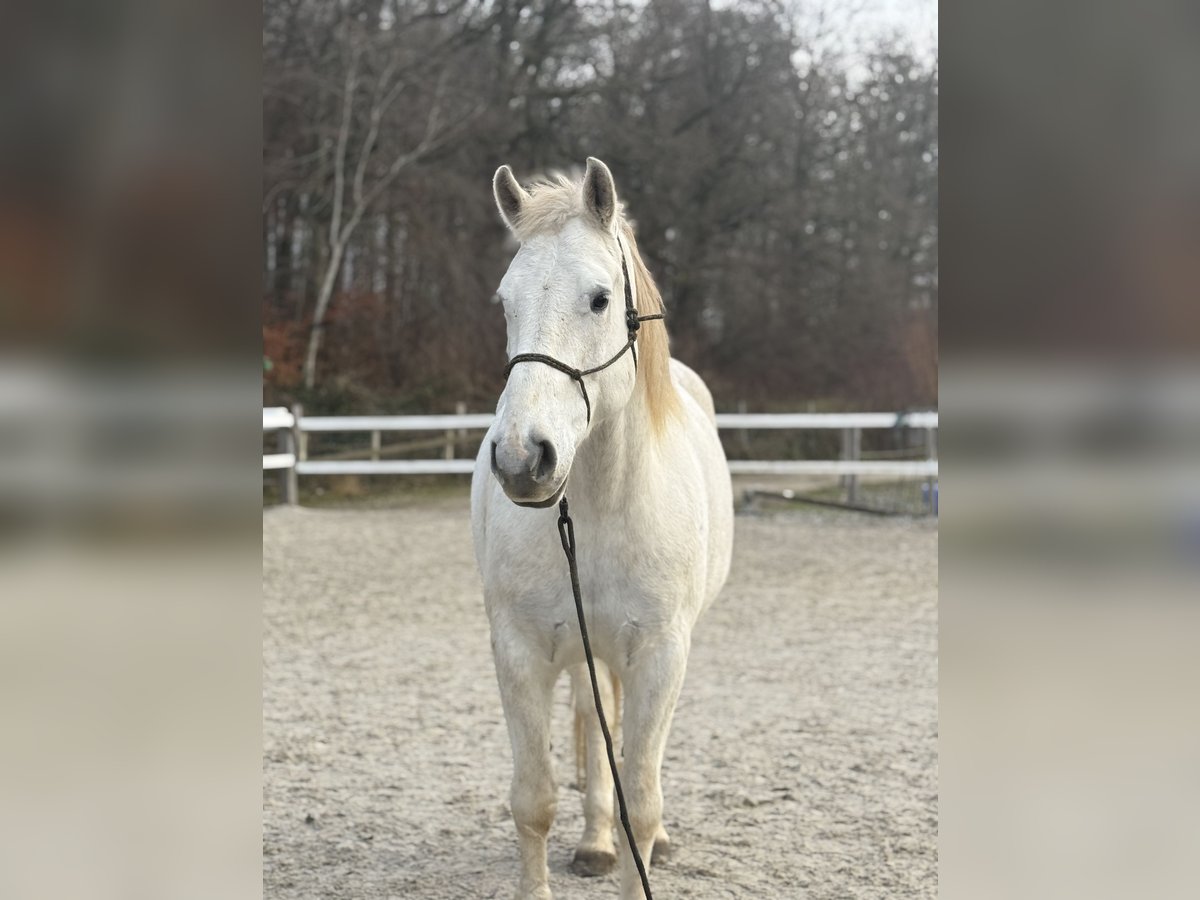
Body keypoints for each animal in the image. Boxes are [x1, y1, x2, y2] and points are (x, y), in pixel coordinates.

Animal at [468, 160, 729, 900]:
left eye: (599, 299)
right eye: (505, 303)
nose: (522, 458)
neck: (601, 509)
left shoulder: (661, 655)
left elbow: (642, 798)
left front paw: (641, 842)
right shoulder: (520, 650)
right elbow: (534, 800)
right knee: (594, 720)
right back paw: (593, 842)